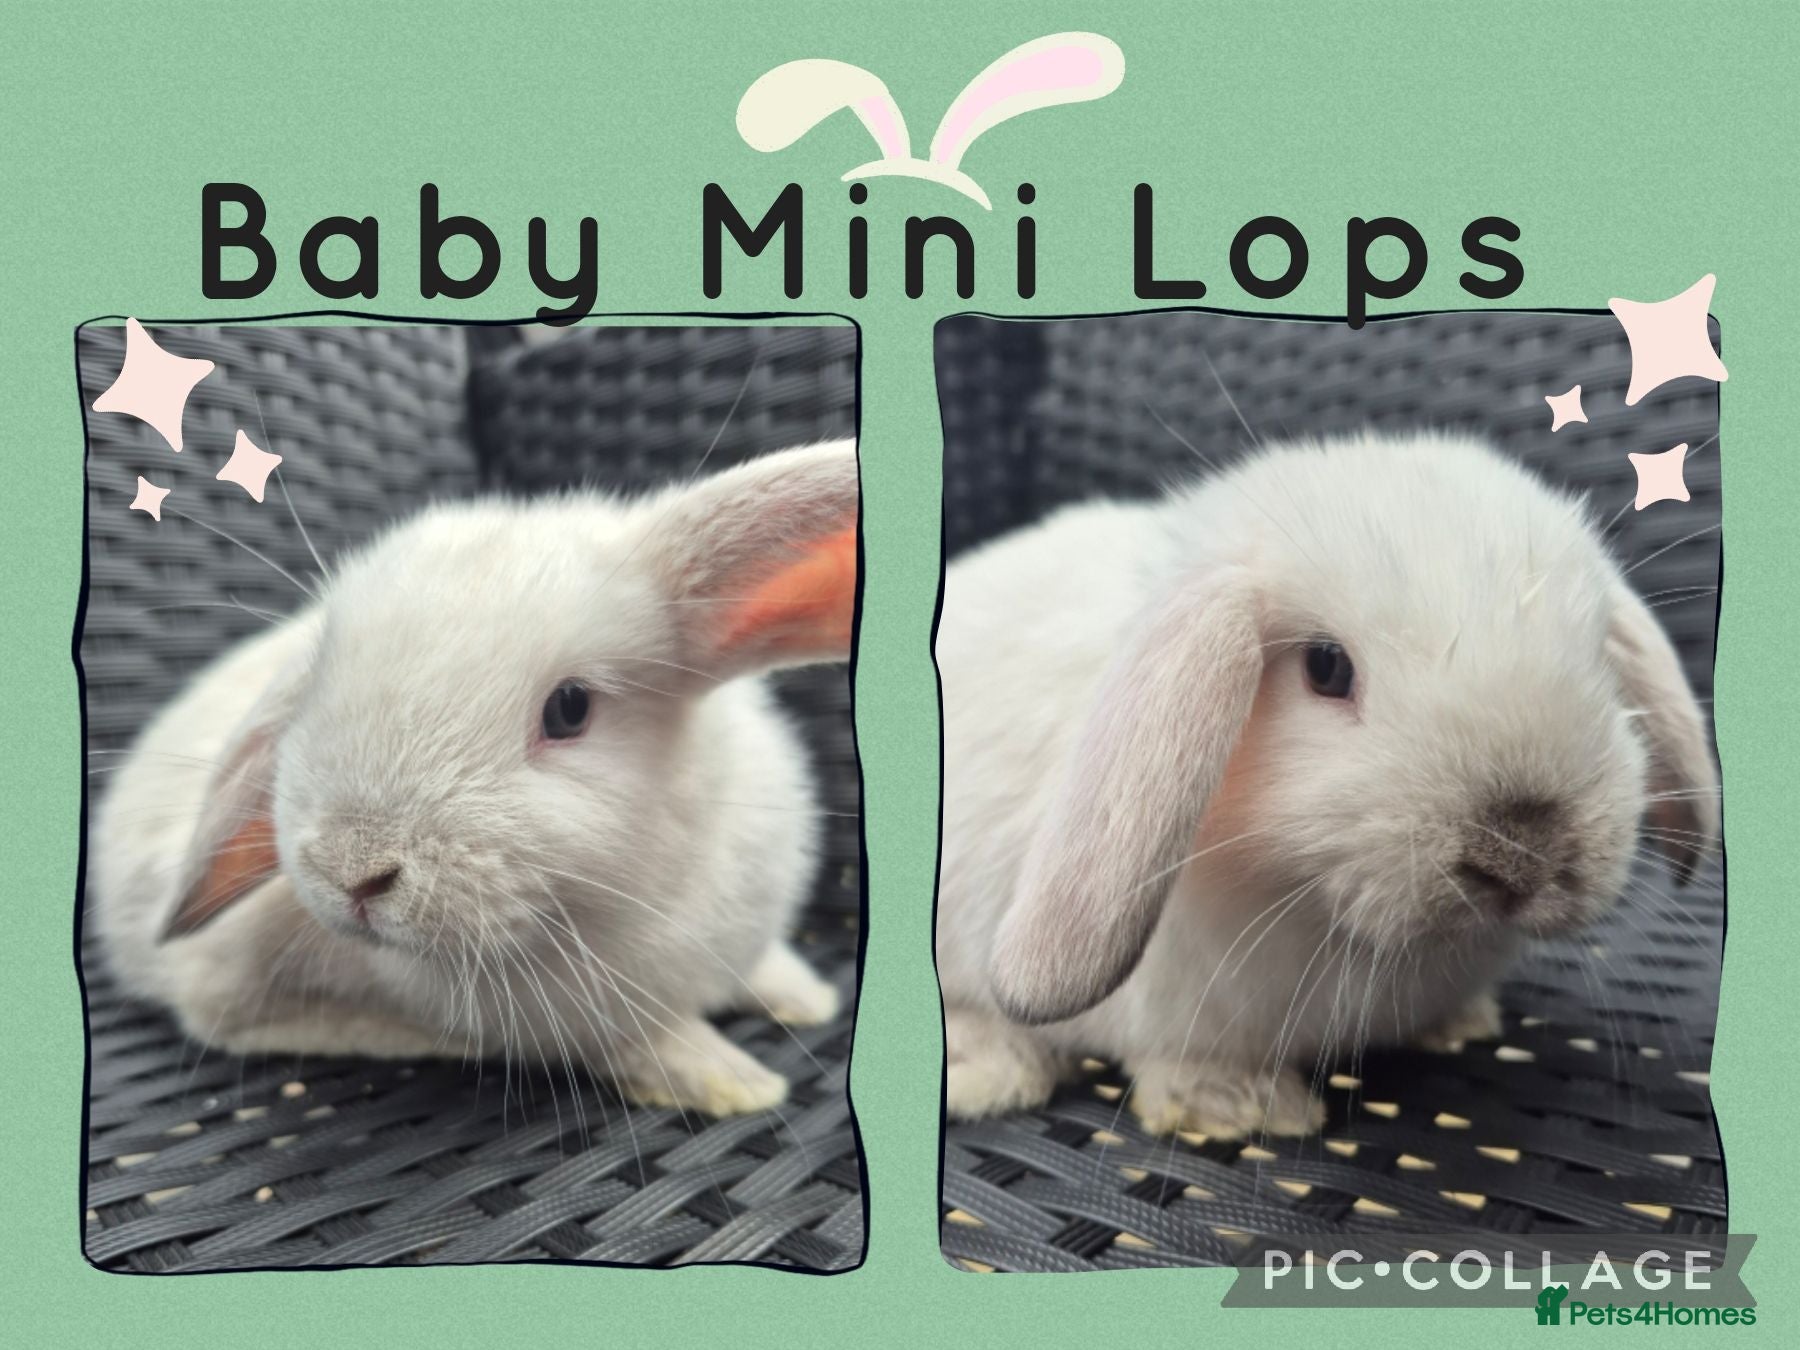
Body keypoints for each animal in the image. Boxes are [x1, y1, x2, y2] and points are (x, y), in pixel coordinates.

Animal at [90, 441, 860, 1118]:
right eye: (316, 683)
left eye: (570, 708)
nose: (352, 871)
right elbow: (633, 1040)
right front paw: (732, 1079)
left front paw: (806, 996)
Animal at [935, 432, 1719, 1138]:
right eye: (1325, 667)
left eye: (1598, 664)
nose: (1521, 854)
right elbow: (1183, 1065)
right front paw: (1242, 1110)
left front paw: (1462, 1025)